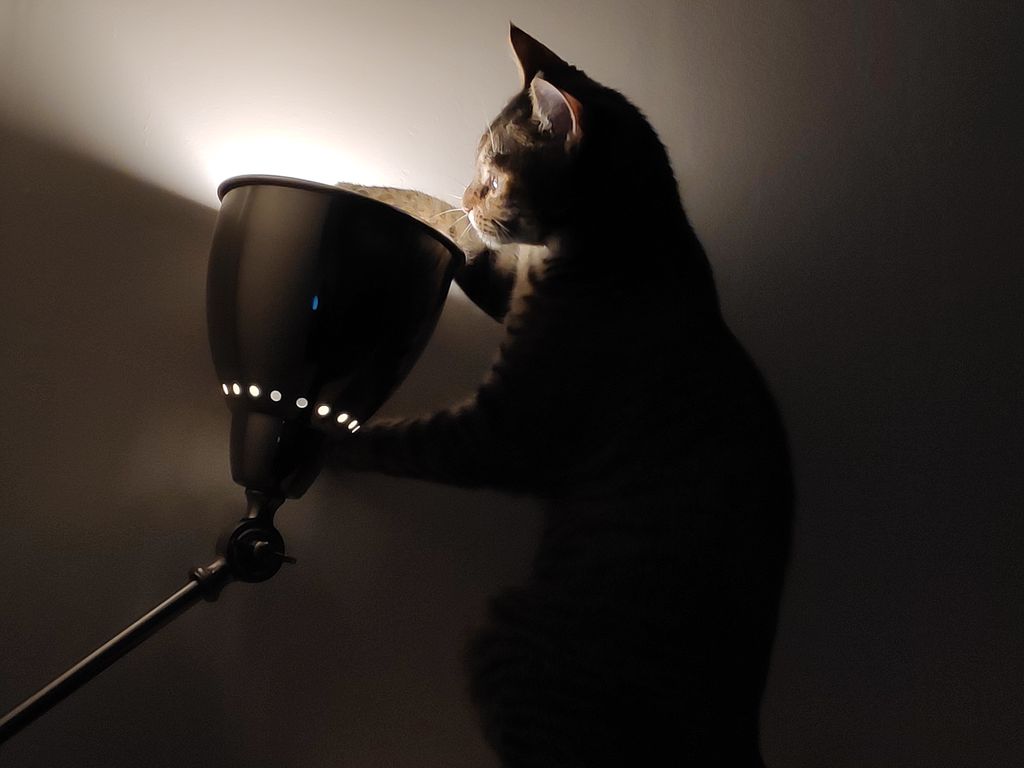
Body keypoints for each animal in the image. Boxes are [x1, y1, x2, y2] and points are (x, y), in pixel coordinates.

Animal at [331, 24, 793, 767]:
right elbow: (452, 235)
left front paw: (320, 438)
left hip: (504, 639)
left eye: (493, 178)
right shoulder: (503, 284)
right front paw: (376, 189)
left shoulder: (500, 431)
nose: (469, 192)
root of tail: (739, 737)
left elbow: (402, 441)